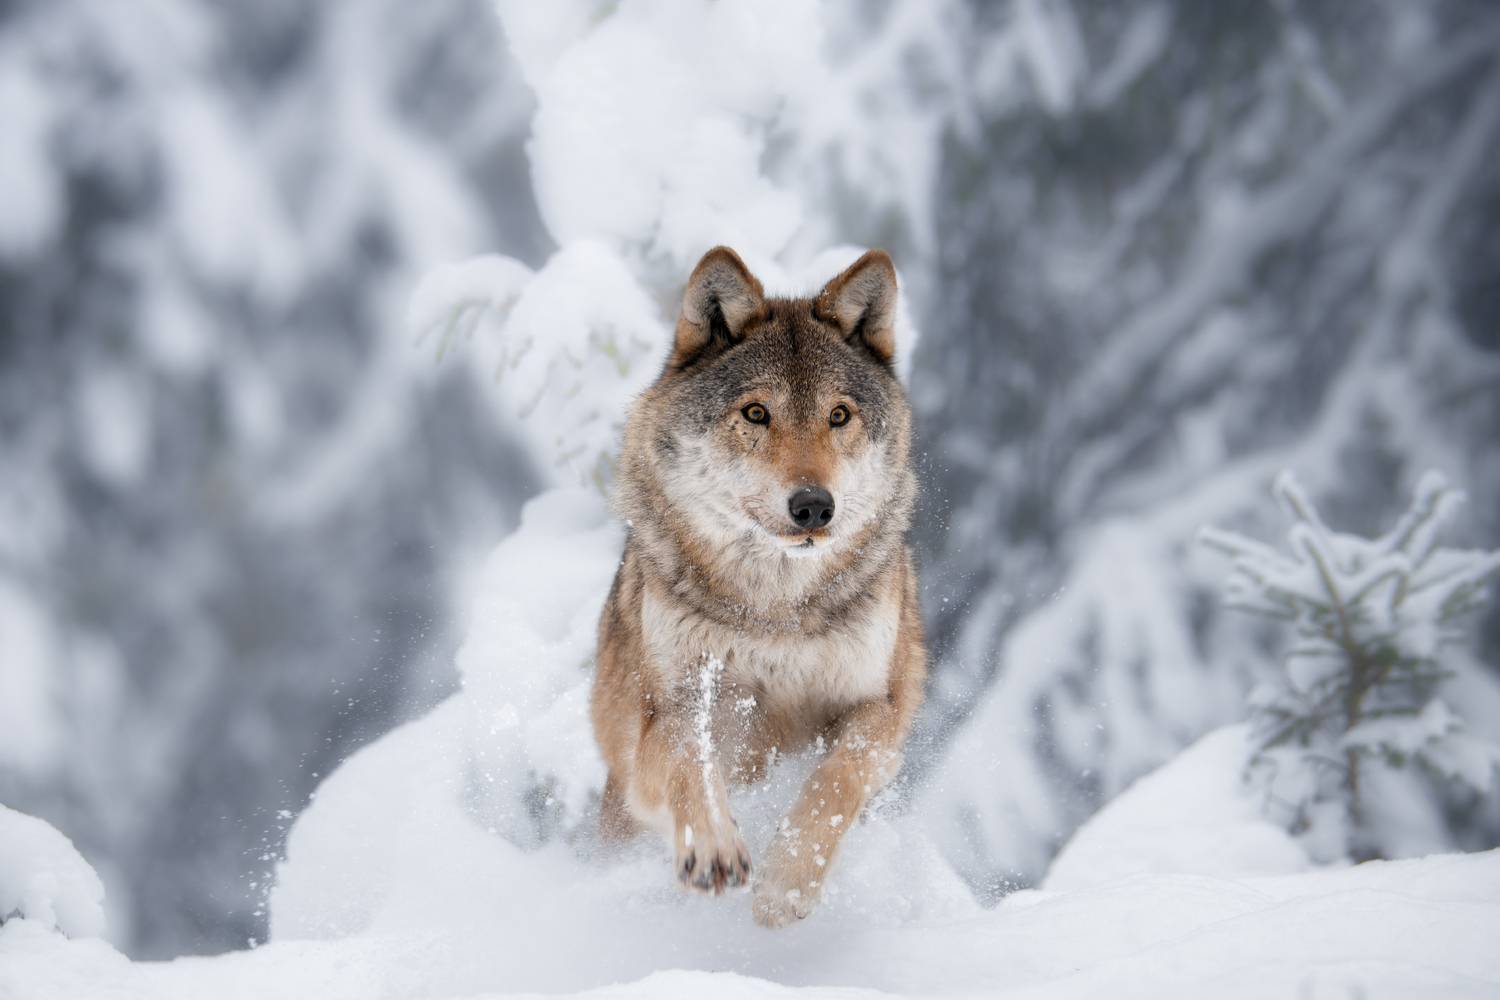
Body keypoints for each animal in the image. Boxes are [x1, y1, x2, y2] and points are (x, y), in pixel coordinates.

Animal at [591, 246, 925, 928]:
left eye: (839, 416)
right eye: (755, 413)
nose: (813, 507)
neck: (776, 613)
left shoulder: (881, 708)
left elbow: (836, 780)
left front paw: (787, 884)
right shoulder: (667, 713)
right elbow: (690, 762)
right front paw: (713, 847)